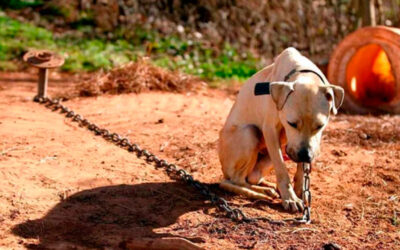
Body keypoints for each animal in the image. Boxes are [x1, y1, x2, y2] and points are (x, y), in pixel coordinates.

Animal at [219, 47, 344, 211]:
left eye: (320, 126)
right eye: (291, 123)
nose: (305, 155)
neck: (303, 73)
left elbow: (301, 169)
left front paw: (300, 190)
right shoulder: (271, 130)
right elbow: (282, 169)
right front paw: (291, 198)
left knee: (250, 178)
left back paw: (268, 186)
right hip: (249, 133)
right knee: (234, 180)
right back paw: (261, 193)